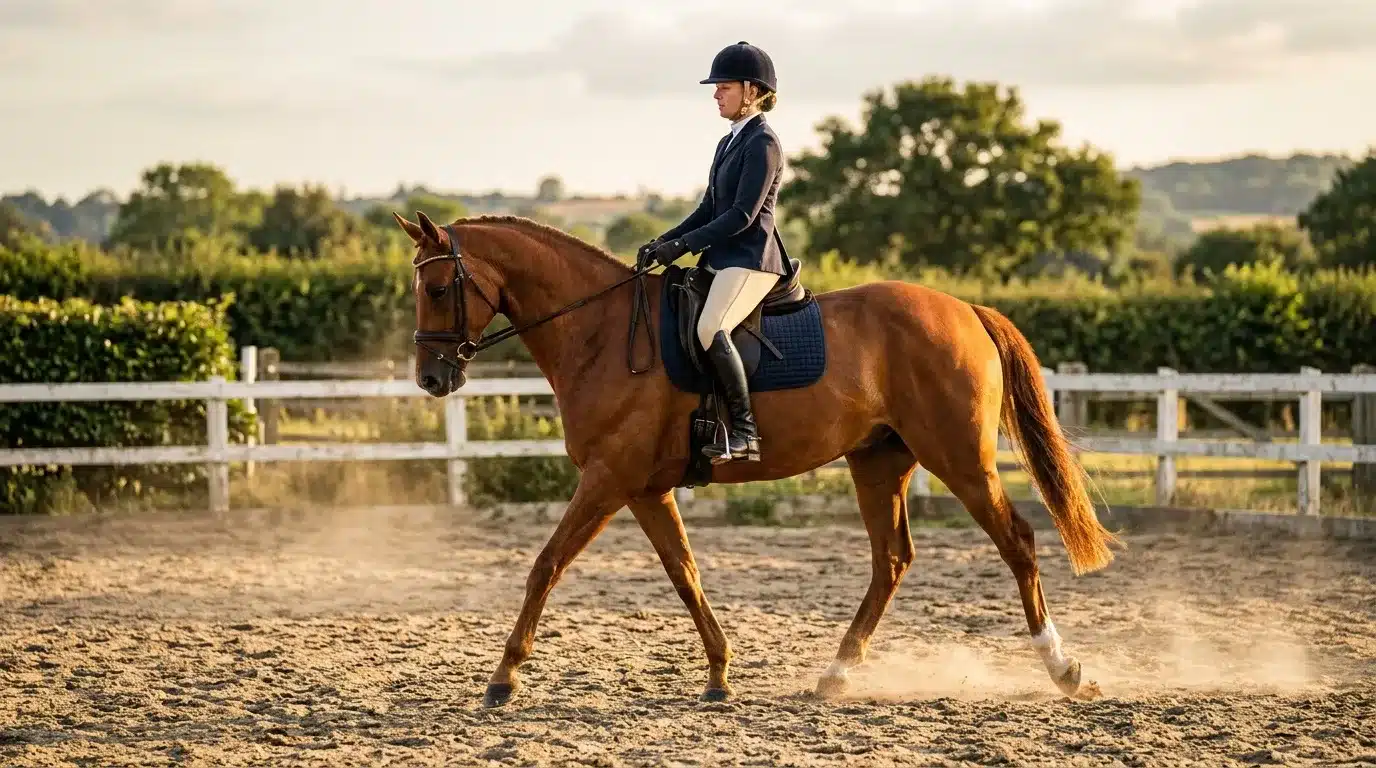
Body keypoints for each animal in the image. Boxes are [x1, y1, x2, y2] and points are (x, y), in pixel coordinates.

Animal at [392, 209, 1121, 708]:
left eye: (438, 291)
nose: (431, 379)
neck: (600, 334)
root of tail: (964, 308)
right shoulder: (643, 488)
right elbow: (684, 573)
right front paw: (718, 672)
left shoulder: (607, 479)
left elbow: (545, 565)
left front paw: (503, 677)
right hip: (879, 461)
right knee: (892, 560)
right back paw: (836, 673)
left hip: (959, 457)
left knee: (1017, 541)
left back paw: (1063, 669)